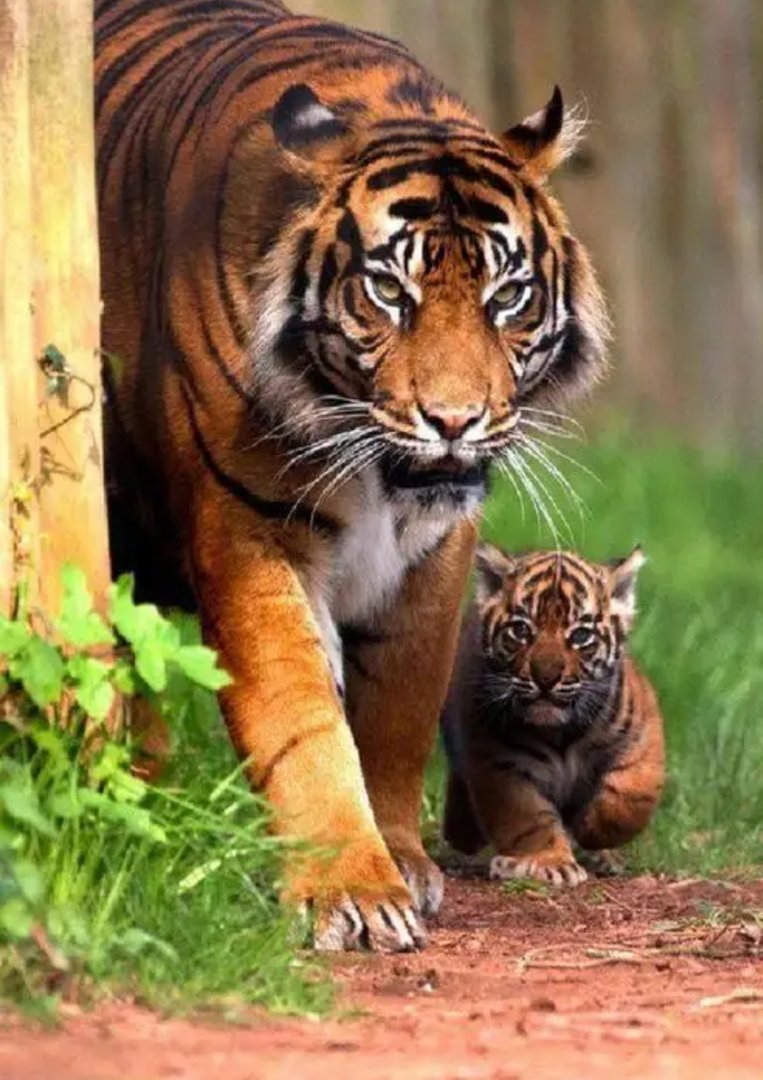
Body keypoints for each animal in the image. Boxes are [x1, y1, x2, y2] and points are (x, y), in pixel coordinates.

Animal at [95, 0, 608, 951]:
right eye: (388, 294)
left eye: (507, 297)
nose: (454, 421)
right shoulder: (246, 531)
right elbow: (300, 717)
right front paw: (352, 890)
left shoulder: (439, 549)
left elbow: (400, 704)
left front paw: (402, 856)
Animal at [442, 543, 664, 886]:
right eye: (521, 629)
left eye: (581, 636)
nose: (546, 678)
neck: (561, 733)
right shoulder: (500, 762)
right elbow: (529, 819)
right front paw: (551, 863)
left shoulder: (643, 735)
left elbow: (630, 796)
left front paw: (590, 830)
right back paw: (462, 835)